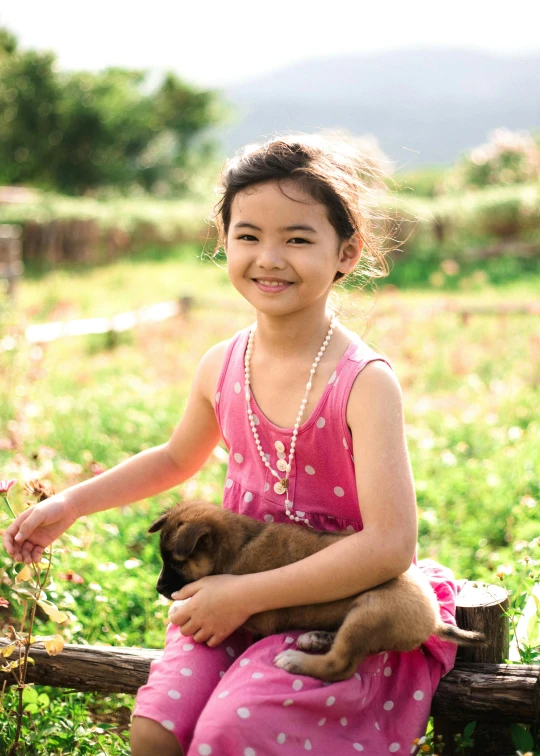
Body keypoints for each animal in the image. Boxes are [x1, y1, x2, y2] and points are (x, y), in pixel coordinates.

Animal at [149, 500, 486, 684]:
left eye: (176, 563)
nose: (158, 588)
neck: (237, 546)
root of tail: (433, 619)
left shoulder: (256, 616)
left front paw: (178, 606)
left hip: (372, 611)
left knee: (340, 665)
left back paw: (297, 660)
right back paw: (316, 638)